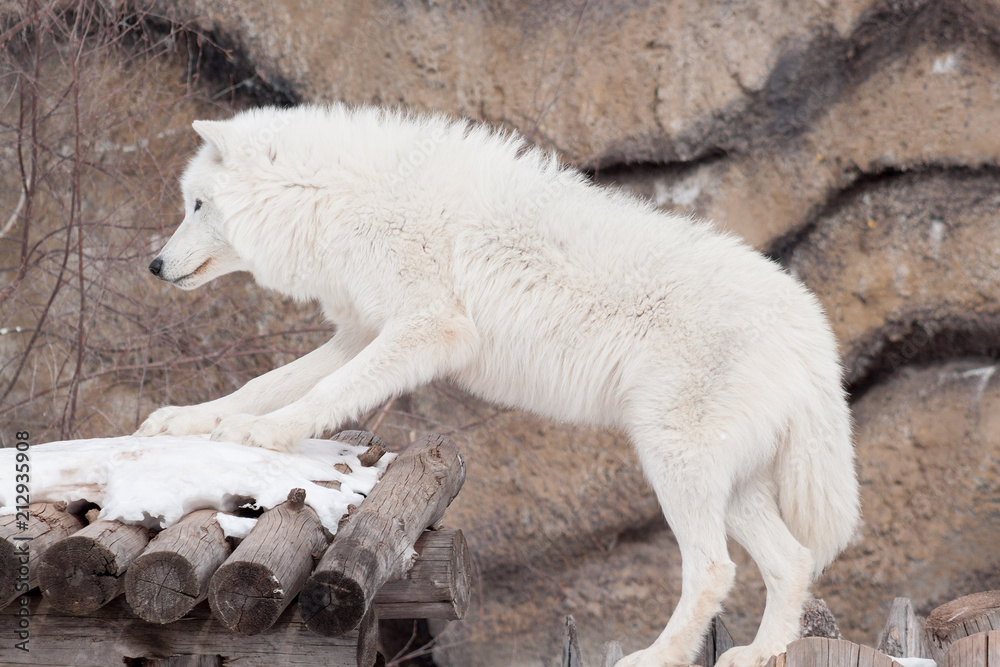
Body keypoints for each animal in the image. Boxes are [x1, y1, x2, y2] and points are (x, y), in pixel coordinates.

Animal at [137, 104, 859, 667]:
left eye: (197, 204)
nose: (154, 265)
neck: (341, 199)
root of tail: (813, 329)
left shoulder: (428, 328)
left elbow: (316, 396)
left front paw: (263, 433)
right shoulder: (360, 331)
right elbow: (265, 382)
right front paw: (189, 421)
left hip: (675, 464)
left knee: (715, 569)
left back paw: (657, 656)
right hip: (726, 484)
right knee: (793, 561)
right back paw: (762, 652)